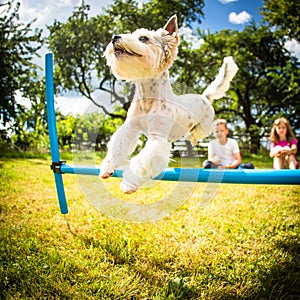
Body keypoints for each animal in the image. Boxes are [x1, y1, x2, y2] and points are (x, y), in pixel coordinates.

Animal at [99, 15, 238, 195]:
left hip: (204, 126)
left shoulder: (157, 137)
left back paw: (191, 138)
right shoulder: (130, 128)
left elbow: (142, 160)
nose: (114, 37)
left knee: (197, 133)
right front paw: (107, 167)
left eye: (143, 38)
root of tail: (204, 96)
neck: (148, 98)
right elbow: (118, 145)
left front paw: (128, 183)